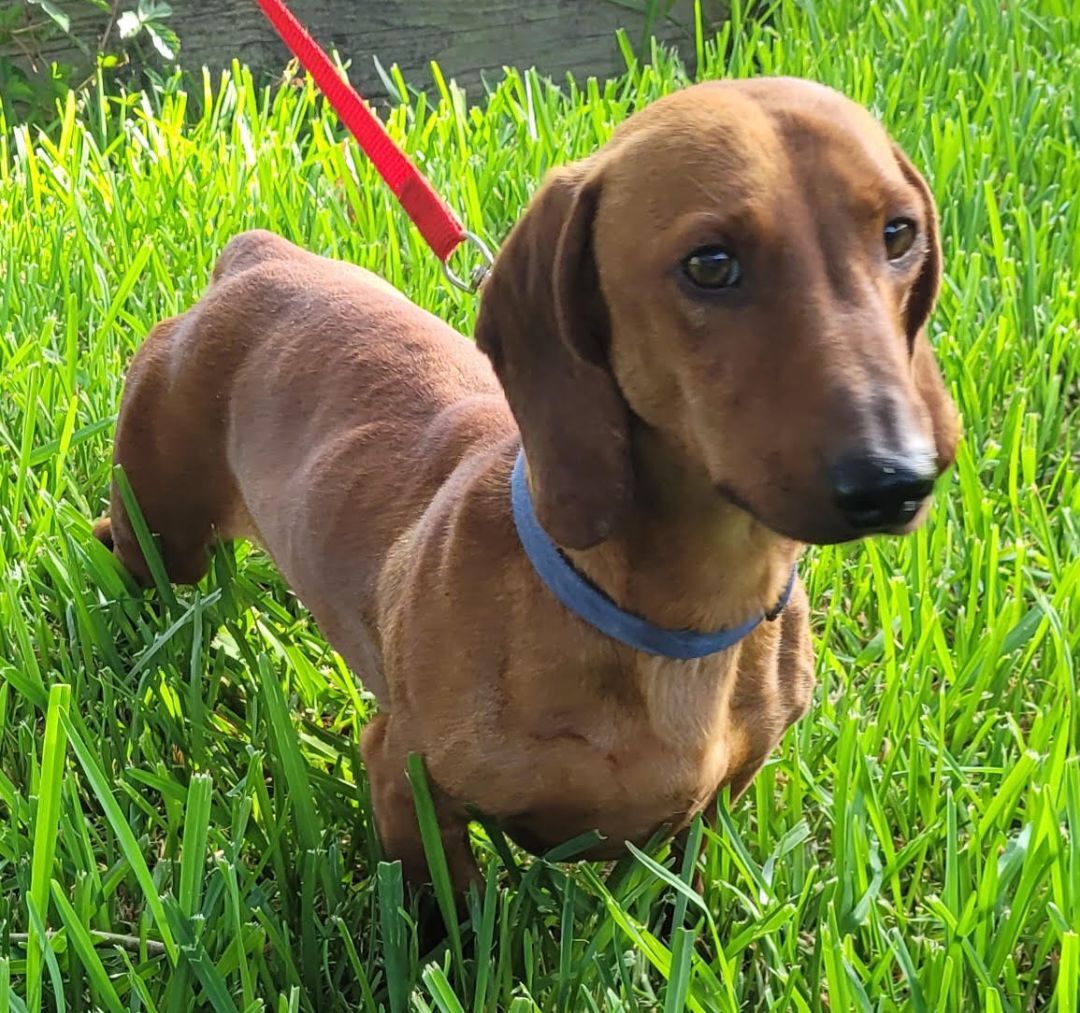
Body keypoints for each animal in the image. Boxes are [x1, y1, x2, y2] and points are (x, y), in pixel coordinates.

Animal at [90, 77, 954, 885]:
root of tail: (257, 258)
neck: (671, 623)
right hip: (161, 531)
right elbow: (449, 916)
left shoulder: (717, 804)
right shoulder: (404, 777)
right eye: (710, 263)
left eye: (899, 233)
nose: (894, 478)